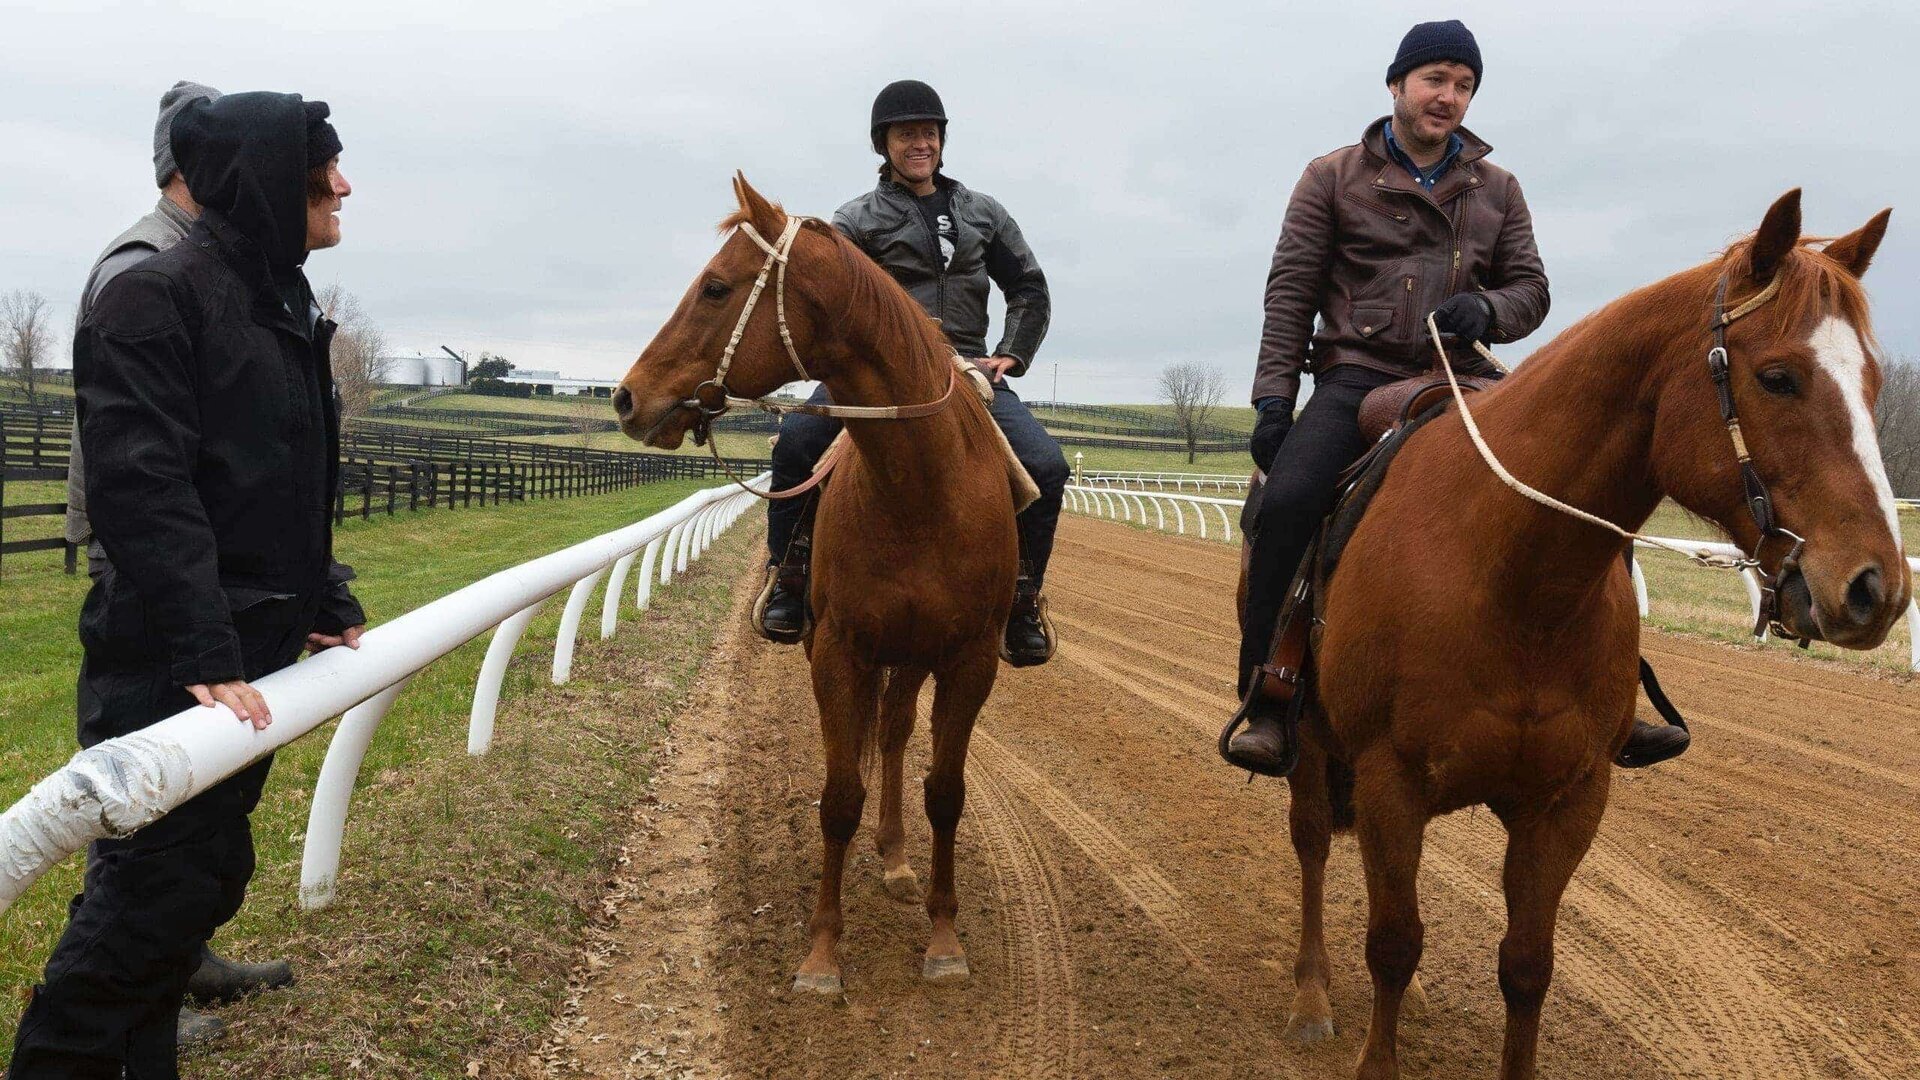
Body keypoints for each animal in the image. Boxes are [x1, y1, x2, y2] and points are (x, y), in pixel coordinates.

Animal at [622, 176, 1029, 991]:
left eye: (716, 287)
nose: (625, 398)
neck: (918, 489)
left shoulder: (968, 660)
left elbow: (947, 793)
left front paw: (944, 940)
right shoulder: (839, 652)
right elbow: (839, 797)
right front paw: (822, 953)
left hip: (916, 655)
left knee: (897, 734)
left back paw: (899, 863)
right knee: (883, 736)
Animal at [1267, 193, 1912, 1076]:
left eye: (1874, 382)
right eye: (1777, 377)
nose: (1878, 587)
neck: (1514, 578)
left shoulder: (1570, 799)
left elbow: (1526, 965)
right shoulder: (1388, 776)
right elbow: (1393, 941)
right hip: (1310, 745)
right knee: (1311, 848)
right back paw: (1310, 997)